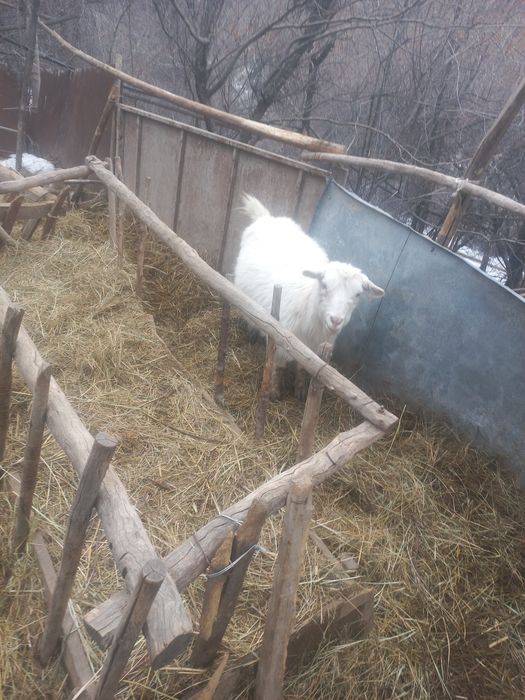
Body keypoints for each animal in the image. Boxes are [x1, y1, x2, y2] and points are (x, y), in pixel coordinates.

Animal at [233, 194, 384, 398]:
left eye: (358, 294)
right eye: (324, 285)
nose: (336, 320)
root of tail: (267, 217)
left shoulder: (313, 352)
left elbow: (302, 369)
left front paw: (300, 391)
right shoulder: (280, 341)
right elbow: (278, 367)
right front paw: (274, 392)